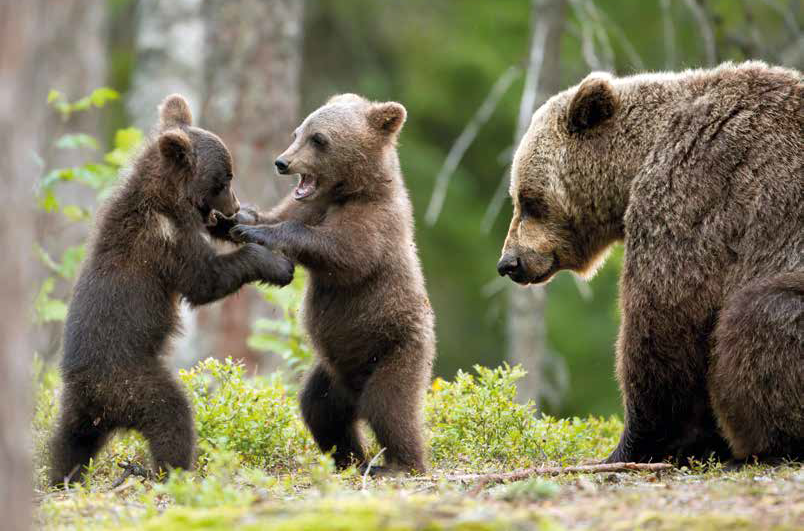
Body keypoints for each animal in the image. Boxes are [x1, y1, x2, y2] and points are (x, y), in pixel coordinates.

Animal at [500, 60, 800, 464]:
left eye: (529, 200)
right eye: (518, 196)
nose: (509, 263)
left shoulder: (694, 192)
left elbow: (664, 319)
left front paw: (632, 445)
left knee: (760, 315)